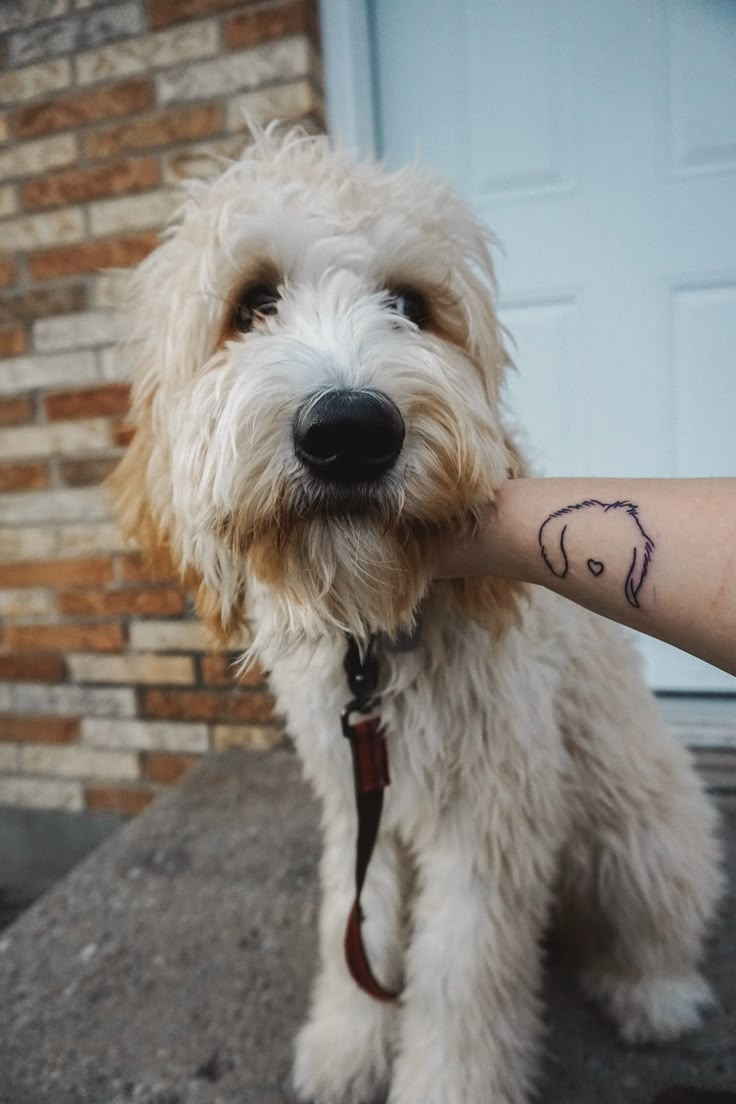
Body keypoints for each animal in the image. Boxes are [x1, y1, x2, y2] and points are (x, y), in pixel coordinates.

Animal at [112, 131, 723, 1104]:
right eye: (253, 302)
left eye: (410, 304)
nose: (349, 430)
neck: (377, 645)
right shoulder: (355, 795)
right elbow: (354, 923)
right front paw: (345, 1045)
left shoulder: (492, 813)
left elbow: (459, 979)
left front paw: (443, 1082)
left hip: (639, 839)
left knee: (659, 924)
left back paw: (650, 995)